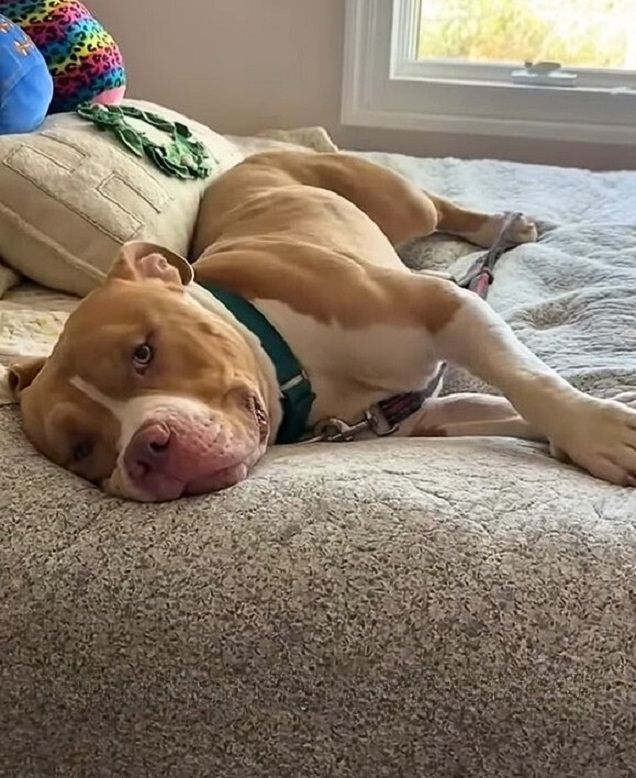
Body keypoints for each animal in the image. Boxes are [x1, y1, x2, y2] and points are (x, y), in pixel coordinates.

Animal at [8, 150, 636, 504]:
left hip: (399, 203)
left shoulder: (445, 308)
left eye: (143, 352)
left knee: (438, 207)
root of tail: (246, 159)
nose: (147, 450)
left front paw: (595, 432)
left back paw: (503, 225)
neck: (294, 362)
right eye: (81, 449)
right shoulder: (416, 416)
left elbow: (531, 381)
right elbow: (502, 408)